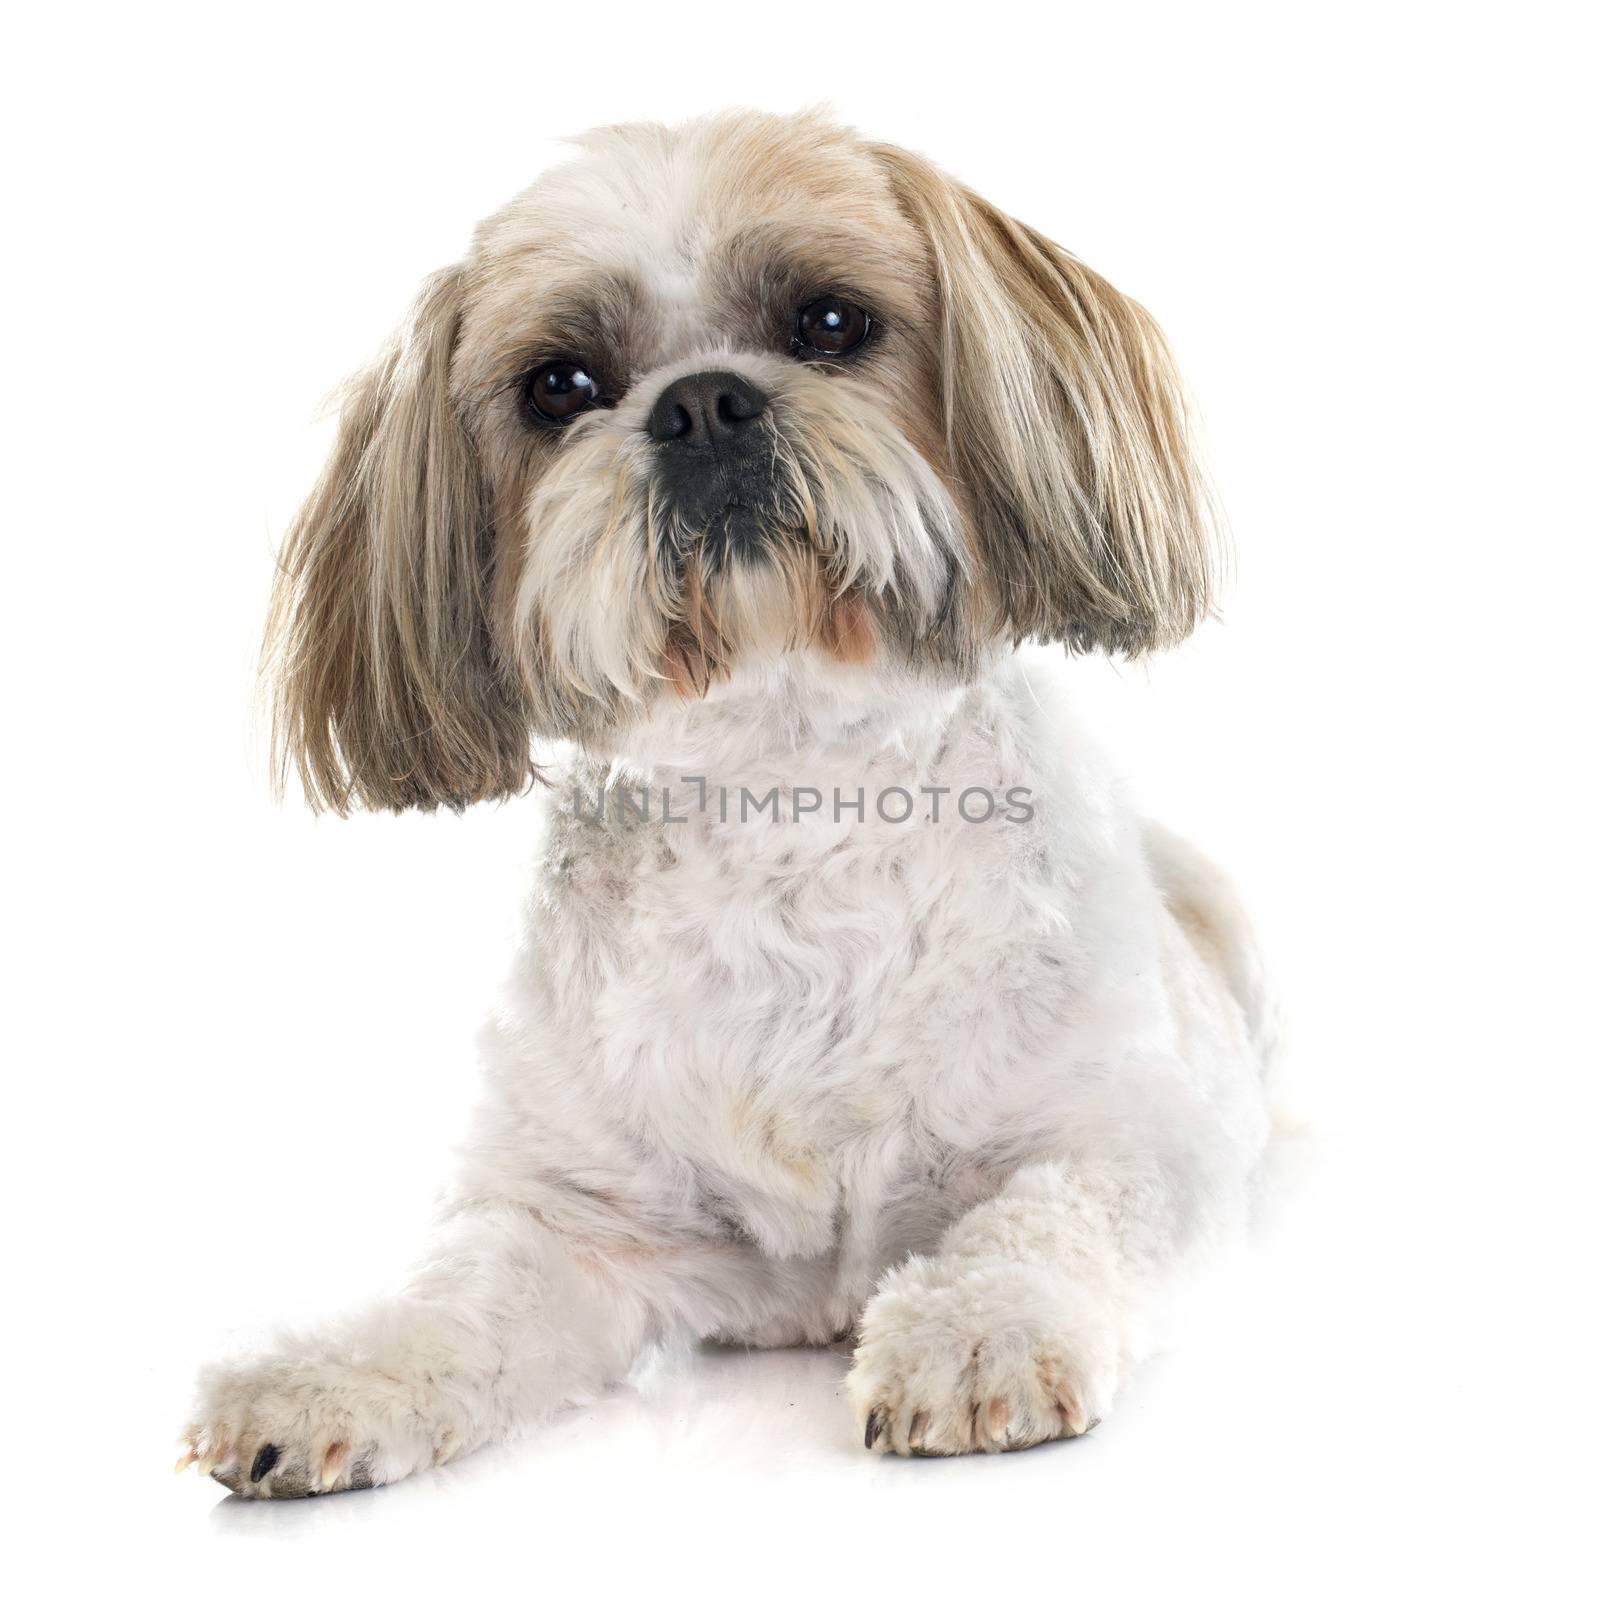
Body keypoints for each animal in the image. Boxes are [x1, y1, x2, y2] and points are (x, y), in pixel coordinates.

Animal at [178, 112, 1273, 1497]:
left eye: (829, 321)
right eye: (561, 386)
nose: (699, 402)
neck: (785, 792)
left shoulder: (1141, 1133)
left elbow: (1049, 1211)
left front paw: (974, 1333)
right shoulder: (581, 1221)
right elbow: (458, 1301)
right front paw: (327, 1372)